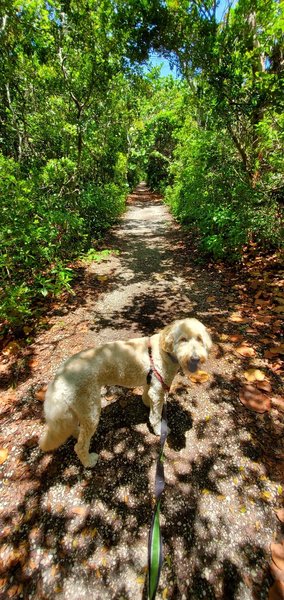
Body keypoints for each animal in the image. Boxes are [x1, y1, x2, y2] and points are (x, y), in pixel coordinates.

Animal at [38, 318, 211, 468]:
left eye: (199, 339)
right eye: (183, 340)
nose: (195, 358)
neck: (164, 351)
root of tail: (60, 375)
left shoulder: (151, 383)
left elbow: (146, 396)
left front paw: (146, 403)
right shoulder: (158, 390)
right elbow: (155, 416)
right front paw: (159, 431)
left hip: (75, 408)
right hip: (90, 409)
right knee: (79, 446)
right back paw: (89, 462)